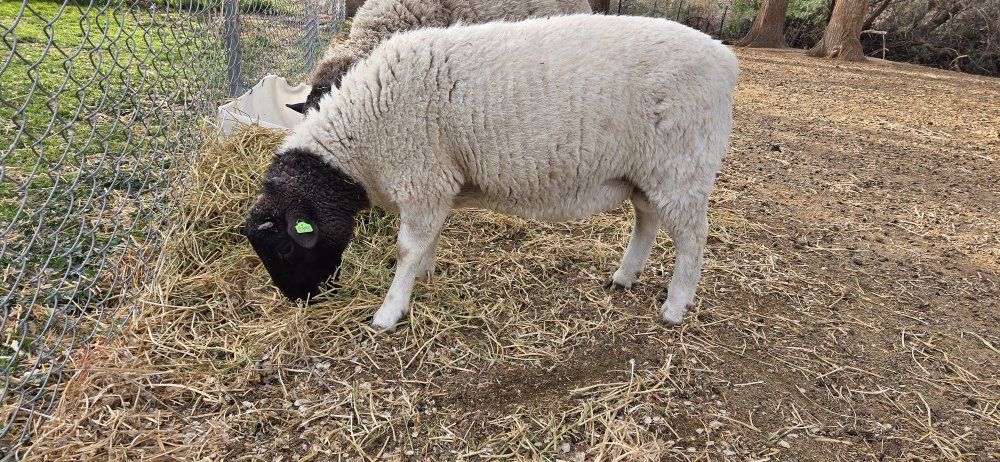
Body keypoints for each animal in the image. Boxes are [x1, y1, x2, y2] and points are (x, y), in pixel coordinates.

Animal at [244, 14, 739, 329]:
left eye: (286, 249)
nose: (302, 300)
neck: (360, 140)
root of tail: (725, 59)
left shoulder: (422, 178)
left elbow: (406, 249)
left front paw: (389, 312)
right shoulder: (436, 185)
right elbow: (426, 241)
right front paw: (424, 274)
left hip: (683, 166)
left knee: (693, 239)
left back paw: (675, 306)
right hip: (647, 169)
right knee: (647, 219)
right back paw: (625, 276)